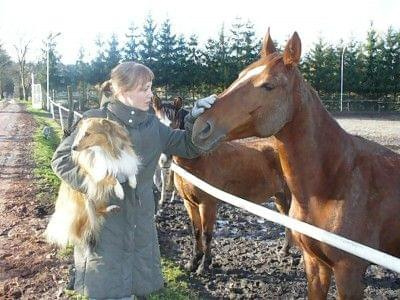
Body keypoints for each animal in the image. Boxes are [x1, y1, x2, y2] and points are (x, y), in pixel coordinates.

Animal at [44, 118, 140, 250]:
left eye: (88, 134)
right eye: (80, 133)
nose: (73, 148)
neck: (104, 149)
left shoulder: (124, 157)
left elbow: (129, 167)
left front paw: (133, 181)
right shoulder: (94, 171)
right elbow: (110, 177)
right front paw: (120, 191)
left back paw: (111, 208)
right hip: (86, 197)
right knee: (94, 213)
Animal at [152, 97, 292, 274]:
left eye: (174, 123)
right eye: (157, 121)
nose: (163, 160)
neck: (199, 159)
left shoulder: (208, 204)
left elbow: (207, 234)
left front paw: (204, 265)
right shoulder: (189, 203)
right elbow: (196, 231)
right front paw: (193, 262)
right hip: (280, 197)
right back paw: (284, 251)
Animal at [191, 29, 400, 298]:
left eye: (268, 86)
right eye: (240, 76)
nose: (200, 128)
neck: (335, 182)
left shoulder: (349, 273)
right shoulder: (315, 264)